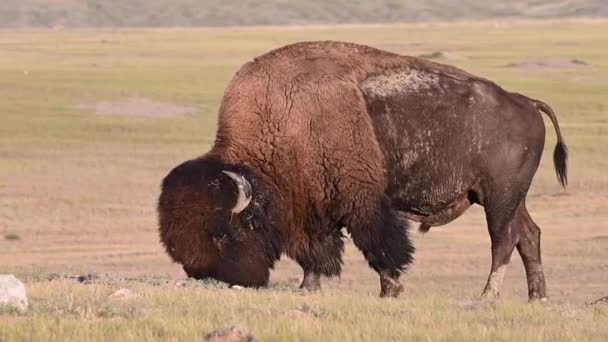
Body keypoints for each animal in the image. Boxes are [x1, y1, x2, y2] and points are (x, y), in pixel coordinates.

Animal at [157, 41, 564, 300]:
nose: (217, 278)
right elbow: (316, 251)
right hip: (506, 198)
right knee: (529, 235)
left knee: (503, 240)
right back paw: (537, 297)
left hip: (498, 198)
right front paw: (309, 287)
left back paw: (487, 296)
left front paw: (390, 291)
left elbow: (380, 246)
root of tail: (525, 102)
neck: (285, 120)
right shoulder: (314, 207)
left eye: (223, 235)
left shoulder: (362, 202)